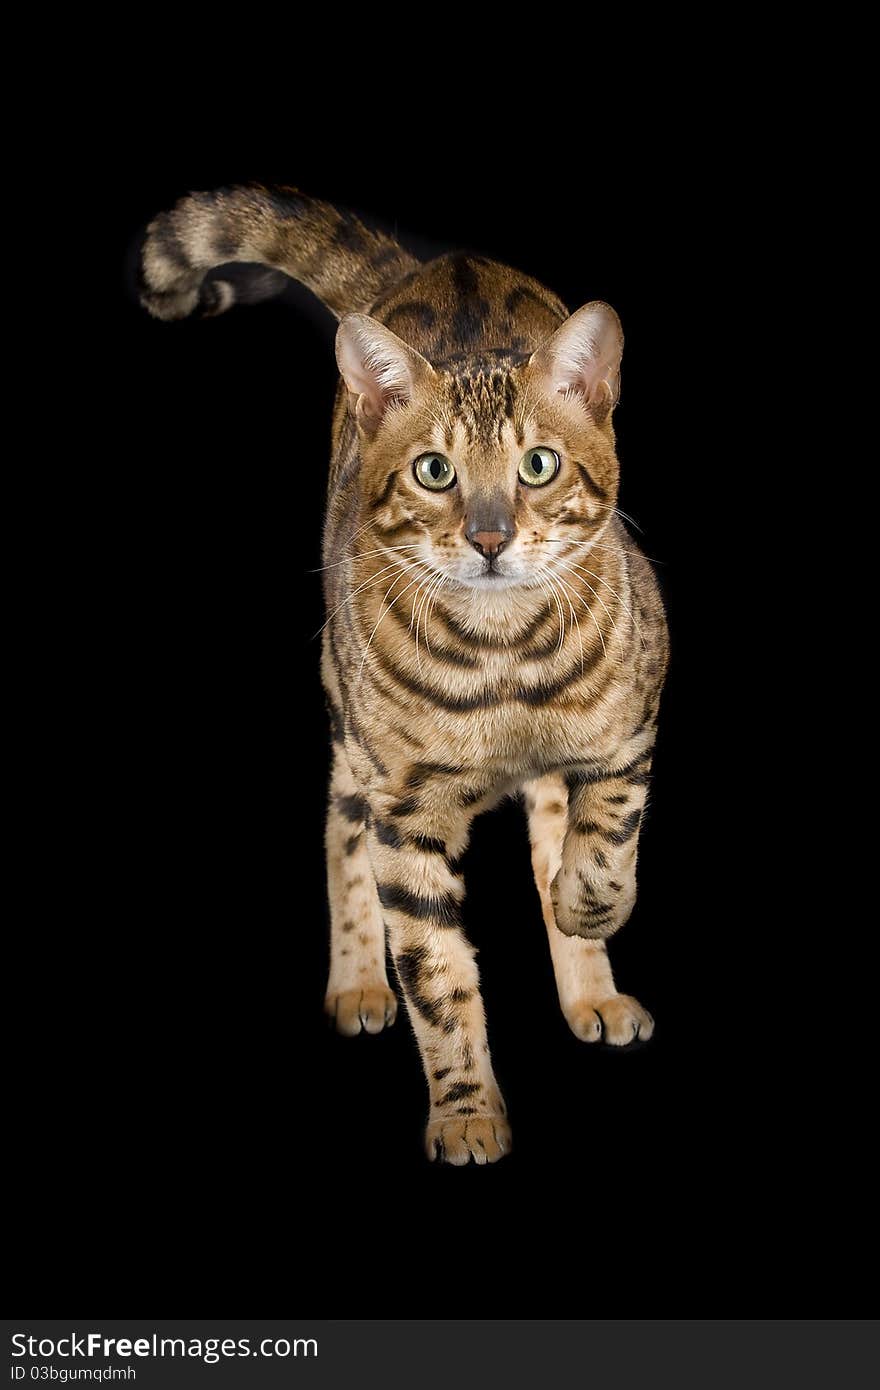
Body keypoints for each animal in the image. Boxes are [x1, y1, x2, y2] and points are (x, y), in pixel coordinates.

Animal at [140, 184, 670, 1162]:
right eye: (434, 472)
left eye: (538, 465)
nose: (491, 537)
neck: (504, 658)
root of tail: (441, 264)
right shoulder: (405, 811)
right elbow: (436, 975)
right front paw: (464, 1112)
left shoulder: (635, 718)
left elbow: (604, 837)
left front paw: (586, 909)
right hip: (348, 721)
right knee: (337, 829)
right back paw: (356, 979)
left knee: (551, 828)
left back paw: (592, 987)